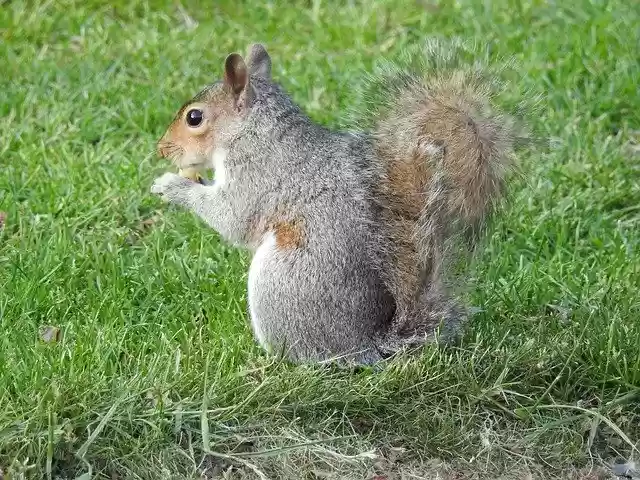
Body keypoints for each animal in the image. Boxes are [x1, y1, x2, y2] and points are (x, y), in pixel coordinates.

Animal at [151, 39, 527, 365]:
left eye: (195, 117)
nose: (161, 149)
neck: (254, 131)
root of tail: (367, 342)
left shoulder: (256, 177)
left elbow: (232, 217)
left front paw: (172, 186)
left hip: (279, 284)